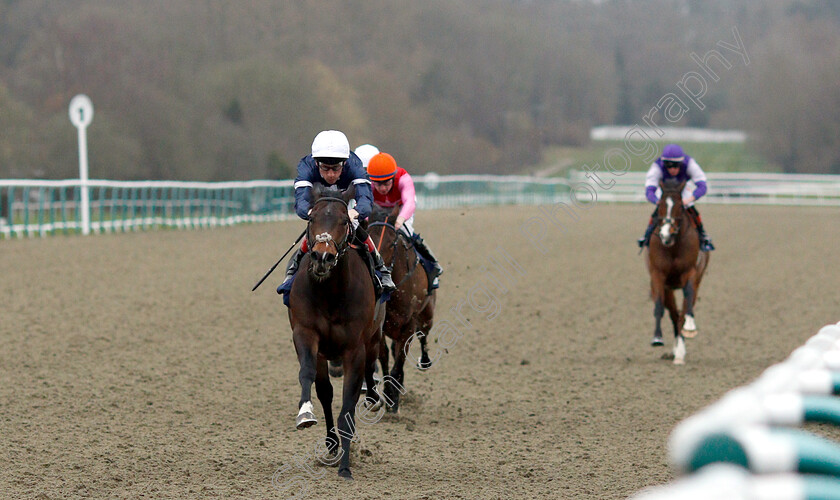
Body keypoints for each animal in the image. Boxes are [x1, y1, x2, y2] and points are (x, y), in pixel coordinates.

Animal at [286, 185, 384, 480]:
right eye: (311, 218)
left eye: (343, 221)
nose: (322, 256)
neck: (330, 292)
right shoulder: (306, 334)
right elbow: (309, 377)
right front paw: (305, 414)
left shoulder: (355, 348)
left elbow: (348, 402)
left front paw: (345, 467)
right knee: (326, 392)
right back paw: (330, 443)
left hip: (373, 337)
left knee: (370, 367)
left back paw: (373, 397)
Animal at [368, 205, 436, 412]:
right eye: (368, 237)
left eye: (392, 243)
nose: (376, 270)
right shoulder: (380, 326)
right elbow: (384, 355)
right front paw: (389, 392)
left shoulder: (409, 323)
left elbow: (400, 358)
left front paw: (392, 396)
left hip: (427, 314)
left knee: (423, 335)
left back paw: (424, 361)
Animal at [648, 179, 708, 364]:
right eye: (660, 204)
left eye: (681, 205)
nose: (666, 233)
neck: (672, 246)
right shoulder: (658, 275)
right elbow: (659, 306)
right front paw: (657, 338)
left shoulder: (690, 273)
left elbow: (687, 300)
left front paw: (689, 327)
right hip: (668, 288)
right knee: (674, 315)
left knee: (684, 310)